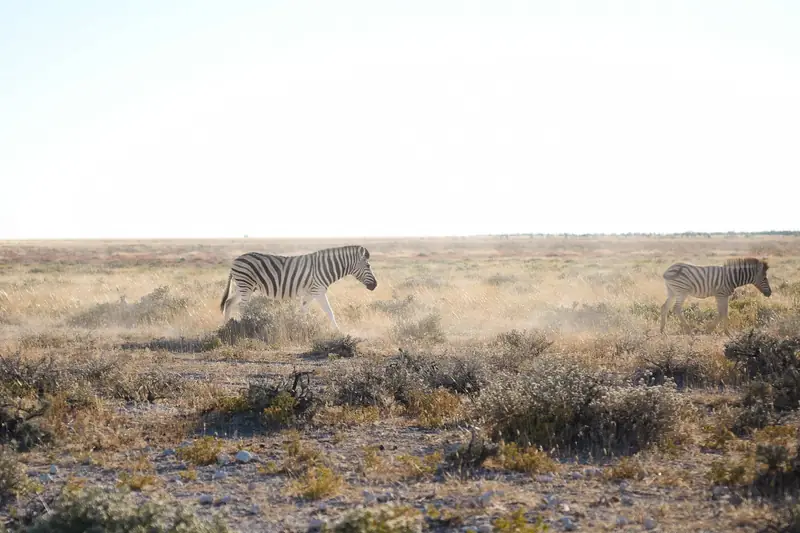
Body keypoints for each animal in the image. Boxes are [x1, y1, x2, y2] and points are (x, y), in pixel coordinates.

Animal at [219, 245, 377, 329]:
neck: (326, 268)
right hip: (245, 285)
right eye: (368, 265)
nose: (375, 285)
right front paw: (338, 331)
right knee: (242, 307)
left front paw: (301, 326)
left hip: (242, 287)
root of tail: (235, 260)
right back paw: (245, 325)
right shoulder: (318, 291)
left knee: (229, 303)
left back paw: (225, 327)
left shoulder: (310, 293)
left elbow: (303, 311)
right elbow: (329, 311)